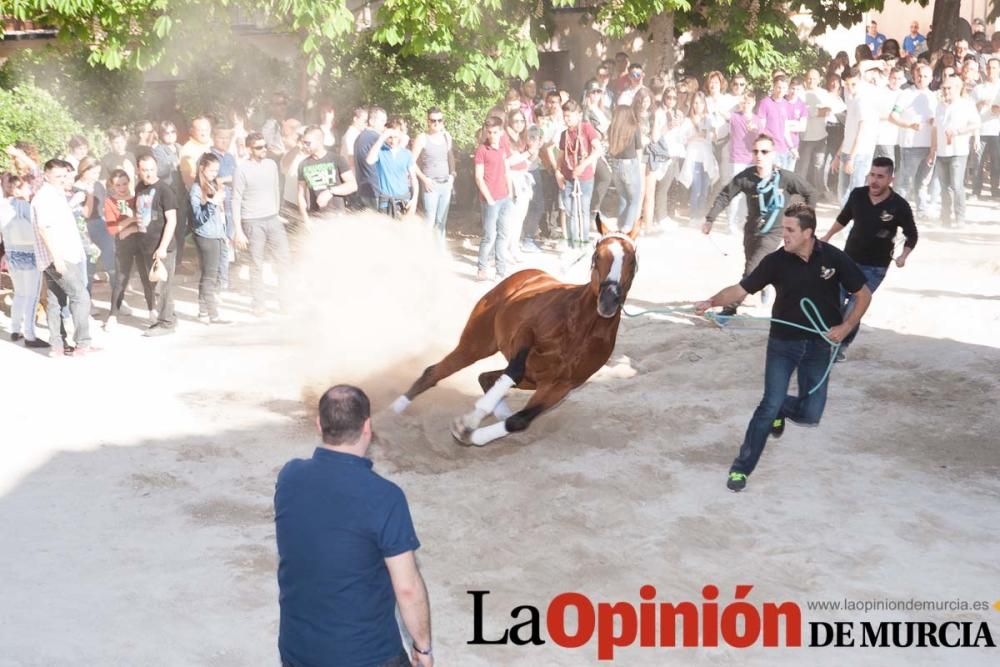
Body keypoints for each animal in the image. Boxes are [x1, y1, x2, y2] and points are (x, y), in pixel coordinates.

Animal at [390, 217, 640, 446]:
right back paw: (393, 412)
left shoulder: (561, 386)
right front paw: (468, 421)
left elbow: (518, 421)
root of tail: (524, 275)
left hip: (530, 379)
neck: (581, 329)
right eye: (597, 256)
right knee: (434, 372)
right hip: (476, 344)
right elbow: (514, 370)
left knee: (485, 377)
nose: (608, 301)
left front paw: (469, 431)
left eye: (632, 261)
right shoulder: (524, 334)